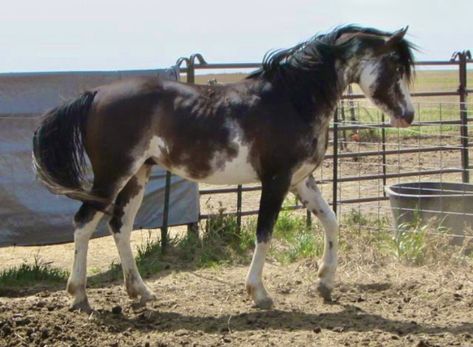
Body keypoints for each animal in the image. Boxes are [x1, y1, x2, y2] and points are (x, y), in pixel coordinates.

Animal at [32, 25, 412, 314]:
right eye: (395, 67)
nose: (408, 115)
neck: (291, 101)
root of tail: (95, 94)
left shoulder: (301, 180)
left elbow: (331, 222)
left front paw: (325, 284)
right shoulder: (276, 180)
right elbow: (264, 232)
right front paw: (259, 294)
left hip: (138, 174)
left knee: (120, 226)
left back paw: (140, 292)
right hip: (113, 175)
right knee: (84, 223)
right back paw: (79, 297)